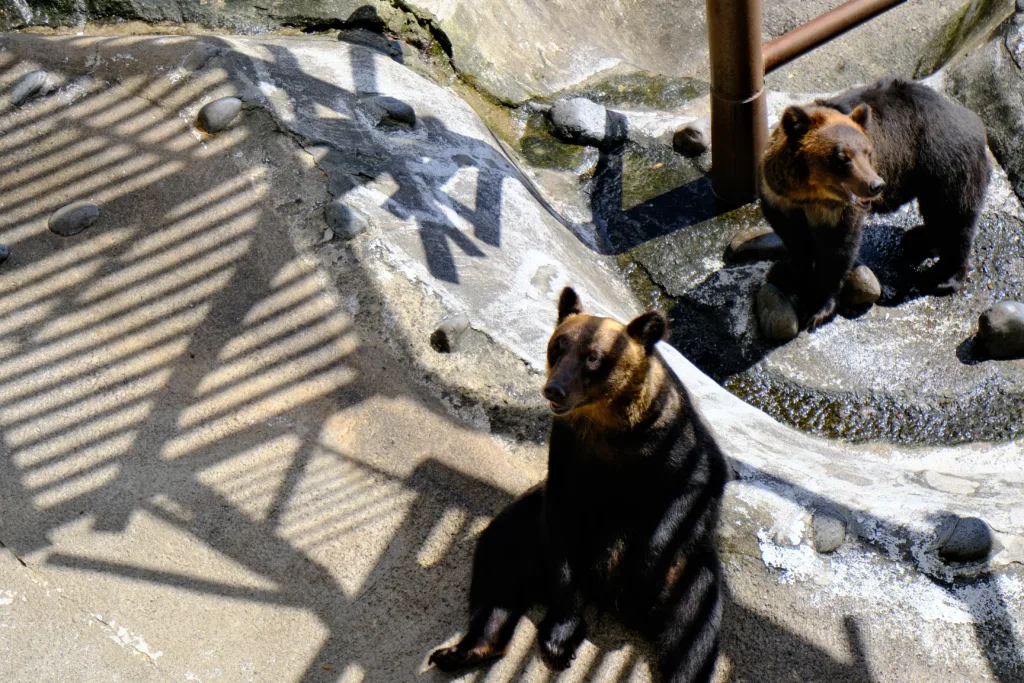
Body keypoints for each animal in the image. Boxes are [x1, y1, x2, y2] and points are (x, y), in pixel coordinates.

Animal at [428, 288, 733, 683]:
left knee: (696, 622)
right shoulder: (569, 452)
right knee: (500, 555)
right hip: (529, 529)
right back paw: (465, 649)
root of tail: (600, 588)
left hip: (686, 566)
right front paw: (560, 637)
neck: (608, 421)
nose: (555, 389)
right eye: (558, 346)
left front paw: (639, 577)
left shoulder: (670, 437)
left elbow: (695, 486)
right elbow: (562, 528)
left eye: (593, 357)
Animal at [761, 78, 991, 329]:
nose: (876, 185)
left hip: (946, 165)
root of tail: (974, 120)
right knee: (938, 216)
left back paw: (945, 277)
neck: (810, 193)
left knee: (954, 219)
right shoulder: (780, 197)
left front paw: (817, 309)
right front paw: (791, 273)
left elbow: (837, 249)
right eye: (842, 157)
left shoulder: (838, 210)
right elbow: (794, 238)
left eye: (868, 152)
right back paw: (918, 239)